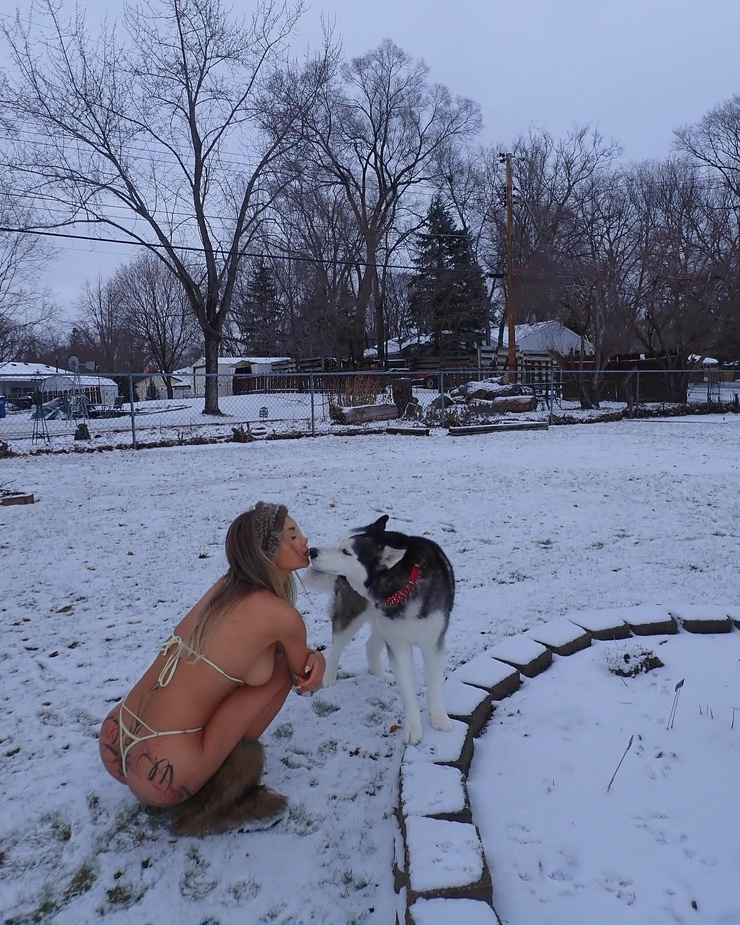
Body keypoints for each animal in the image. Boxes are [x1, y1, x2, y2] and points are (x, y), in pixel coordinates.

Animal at [308, 512, 456, 744]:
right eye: (338, 540)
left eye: (346, 551)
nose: (312, 551)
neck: (401, 587)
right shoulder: (399, 645)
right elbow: (408, 690)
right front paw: (413, 728)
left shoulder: (433, 643)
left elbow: (433, 686)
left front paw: (439, 719)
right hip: (353, 616)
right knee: (337, 645)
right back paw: (329, 677)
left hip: (381, 624)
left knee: (370, 645)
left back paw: (380, 673)